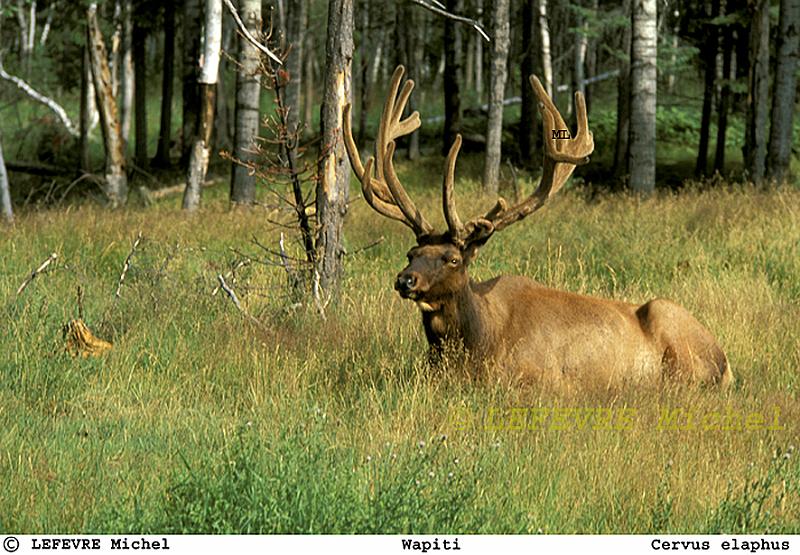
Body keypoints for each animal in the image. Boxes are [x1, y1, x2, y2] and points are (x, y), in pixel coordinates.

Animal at [342, 66, 732, 386]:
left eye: (453, 259)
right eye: (412, 252)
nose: (405, 279)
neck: (480, 341)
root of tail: (726, 363)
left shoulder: (548, 380)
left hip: (672, 327)